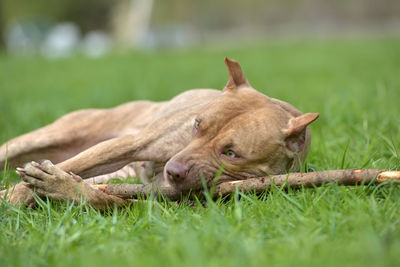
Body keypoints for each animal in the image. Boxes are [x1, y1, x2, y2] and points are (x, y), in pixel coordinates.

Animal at [0, 58, 318, 209]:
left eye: (231, 153)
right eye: (197, 124)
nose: (172, 170)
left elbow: (104, 199)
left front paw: (57, 186)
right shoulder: (127, 145)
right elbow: (75, 164)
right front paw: (14, 197)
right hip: (51, 136)